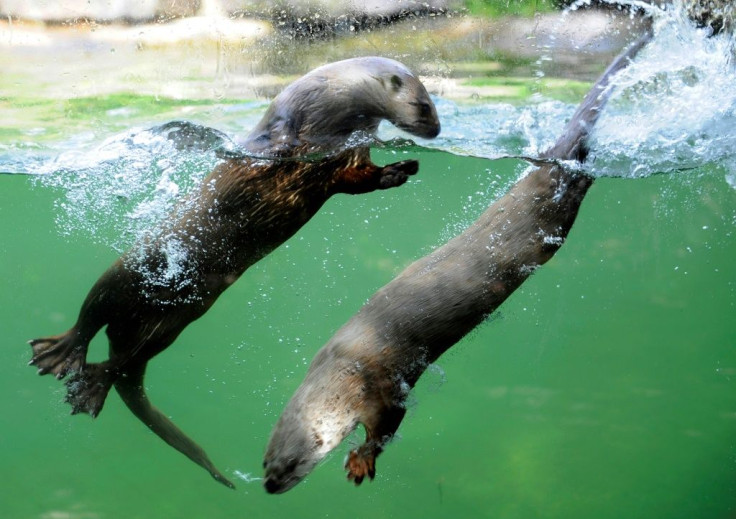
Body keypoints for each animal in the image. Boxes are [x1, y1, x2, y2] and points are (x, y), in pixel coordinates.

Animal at [28, 58, 440, 492]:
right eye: (425, 106)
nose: (436, 131)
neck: (326, 114)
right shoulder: (291, 135)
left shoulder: (348, 159)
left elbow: (360, 180)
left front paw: (399, 170)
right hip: (128, 272)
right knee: (90, 314)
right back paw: (57, 353)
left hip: (173, 321)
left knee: (124, 360)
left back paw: (90, 387)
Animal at [262, 35, 652, 492]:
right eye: (266, 459)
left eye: (293, 464)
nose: (269, 485)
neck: (345, 368)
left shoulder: (381, 385)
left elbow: (387, 426)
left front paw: (361, 461)